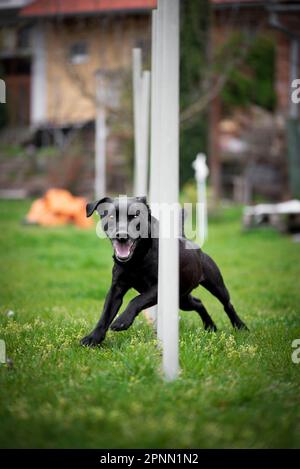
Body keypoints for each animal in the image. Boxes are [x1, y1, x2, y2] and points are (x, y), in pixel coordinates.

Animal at [81, 196, 247, 346]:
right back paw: (210, 327)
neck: (137, 258)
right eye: (111, 216)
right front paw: (93, 338)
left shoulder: (158, 288)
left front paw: (122, 321)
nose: (122, 235)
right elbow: (106, 314)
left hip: (215, 285)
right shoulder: (116, 289)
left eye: (135, 216)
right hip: (182, 299)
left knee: (227, 304)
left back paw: (240, 326)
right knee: (198, 303)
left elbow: (136, 300)